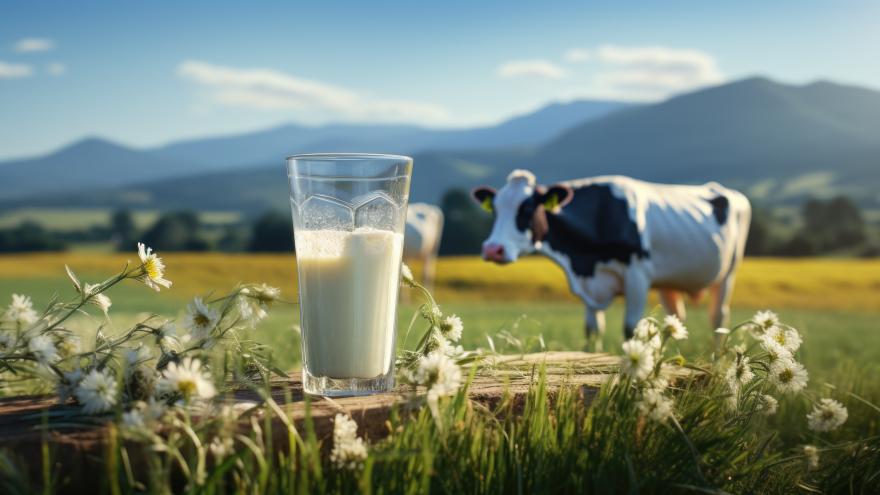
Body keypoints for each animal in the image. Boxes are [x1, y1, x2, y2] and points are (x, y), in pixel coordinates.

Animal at [474, 172, 748, 350]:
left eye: (528, 208)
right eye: (495, 209)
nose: (492, 249)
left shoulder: (637, 275)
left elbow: (630, 328)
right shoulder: (589, 282)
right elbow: (592, 330)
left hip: (730, 272)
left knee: (718, 318)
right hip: (669, 282)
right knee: (677, 318)